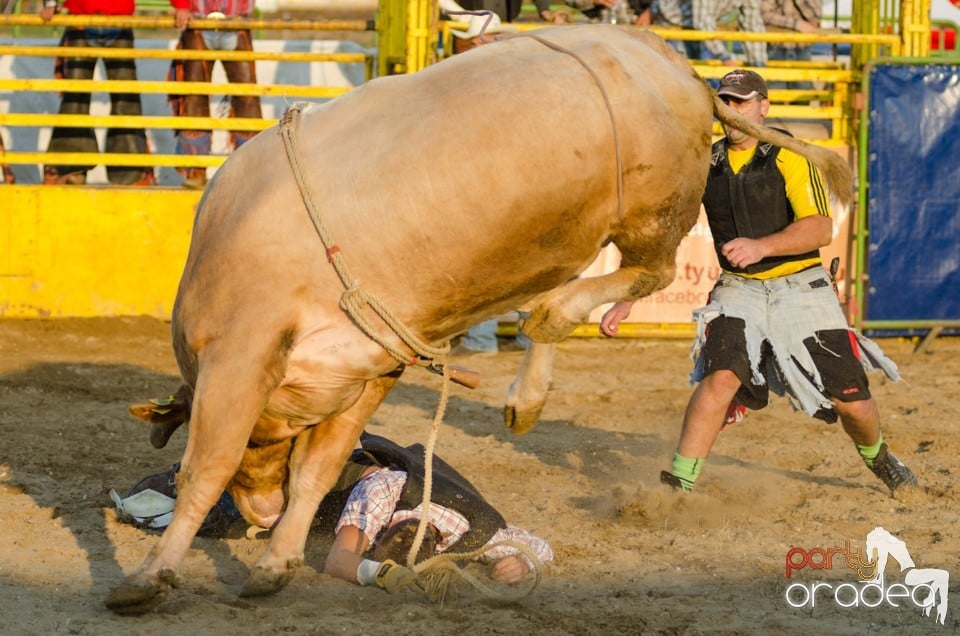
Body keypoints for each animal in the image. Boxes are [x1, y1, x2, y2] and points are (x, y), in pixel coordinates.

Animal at [109, 23, 852, 612]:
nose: (258, 515)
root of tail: (678, 68)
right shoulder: (367, 367)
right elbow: (315, 473)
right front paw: (276, 562)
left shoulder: (241, 354)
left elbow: (207, 470)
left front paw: (150, 577)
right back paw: (529, 393)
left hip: (654, 211)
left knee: (645, 275)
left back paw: (545, 336)